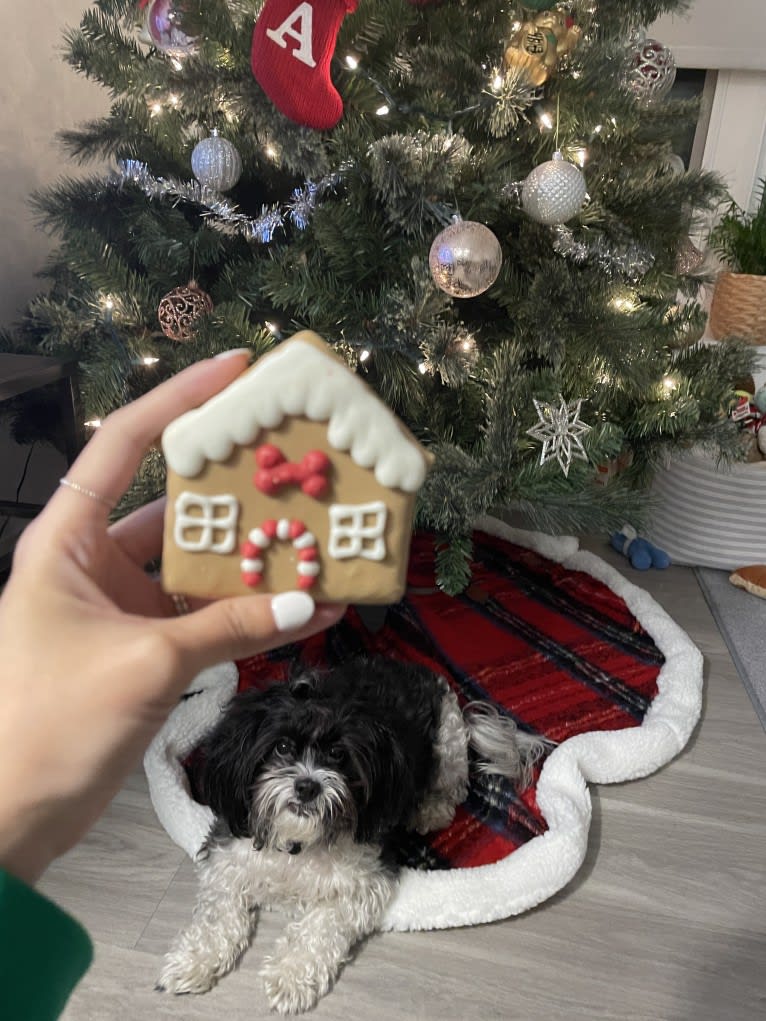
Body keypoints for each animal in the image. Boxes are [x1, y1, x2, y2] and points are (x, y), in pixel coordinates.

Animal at [160, 657, 547, 1008]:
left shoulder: (361, 883)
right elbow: (216, 916)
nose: (308, 786)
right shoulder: (226, 861)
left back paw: (429, 809)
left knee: (452, 785)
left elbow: (320, 927)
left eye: (337, 754)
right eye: (282, 747)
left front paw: (289, 977)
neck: (299, 843)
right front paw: (192, 962)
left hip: (448, 738)